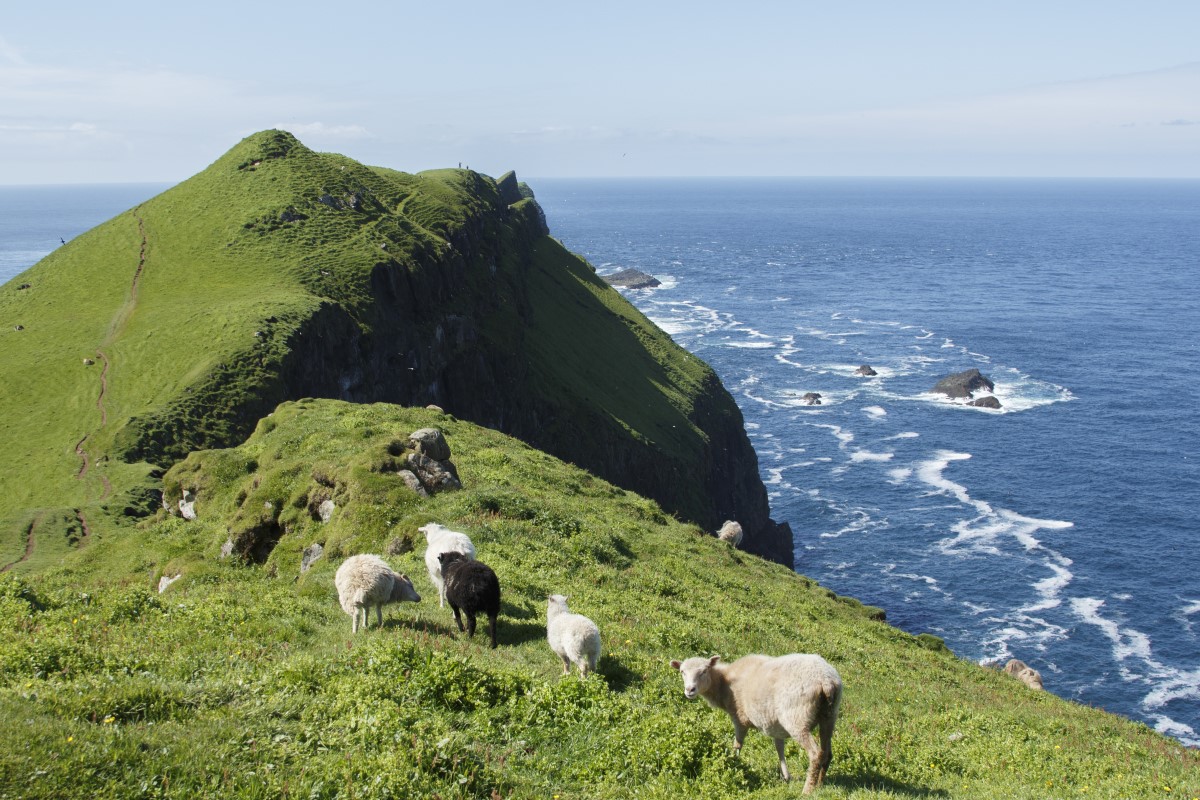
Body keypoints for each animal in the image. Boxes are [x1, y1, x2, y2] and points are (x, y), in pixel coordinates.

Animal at [667, 657, 844, 796]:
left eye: (704, 671)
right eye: (682, 671)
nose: (690, 690)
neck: (724, 682)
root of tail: (826, 680)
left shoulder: (739, 718)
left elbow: (737, 745)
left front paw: (733, 765)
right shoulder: (775, 724)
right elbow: (779, 747)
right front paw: (786, 776)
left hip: (796, 718)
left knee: (815, 754)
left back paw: (807, 790)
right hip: (829, 716)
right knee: (827, 753)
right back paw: (819, 784)